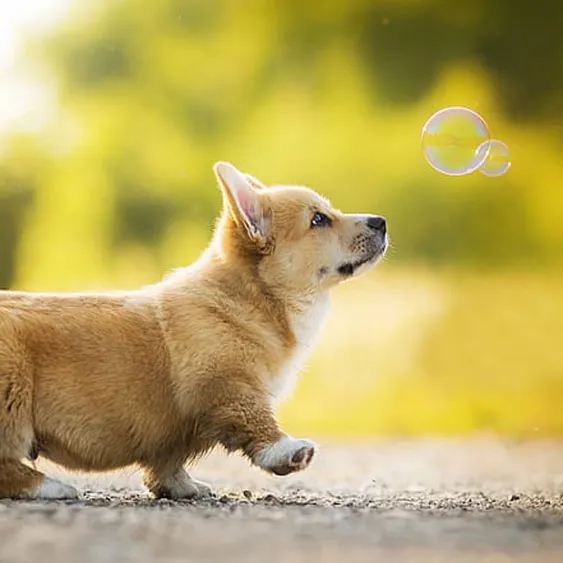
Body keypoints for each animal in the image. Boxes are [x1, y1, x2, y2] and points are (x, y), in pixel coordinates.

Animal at [0, 161, 388, 500]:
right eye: (318, 219)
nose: (381, 221)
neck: (253, 298)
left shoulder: (174, 435)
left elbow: (167, 465)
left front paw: (182, 487)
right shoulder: (227, 386)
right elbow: (257, 421)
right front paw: (288, 450)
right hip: (13, 388)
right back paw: (49, 486)